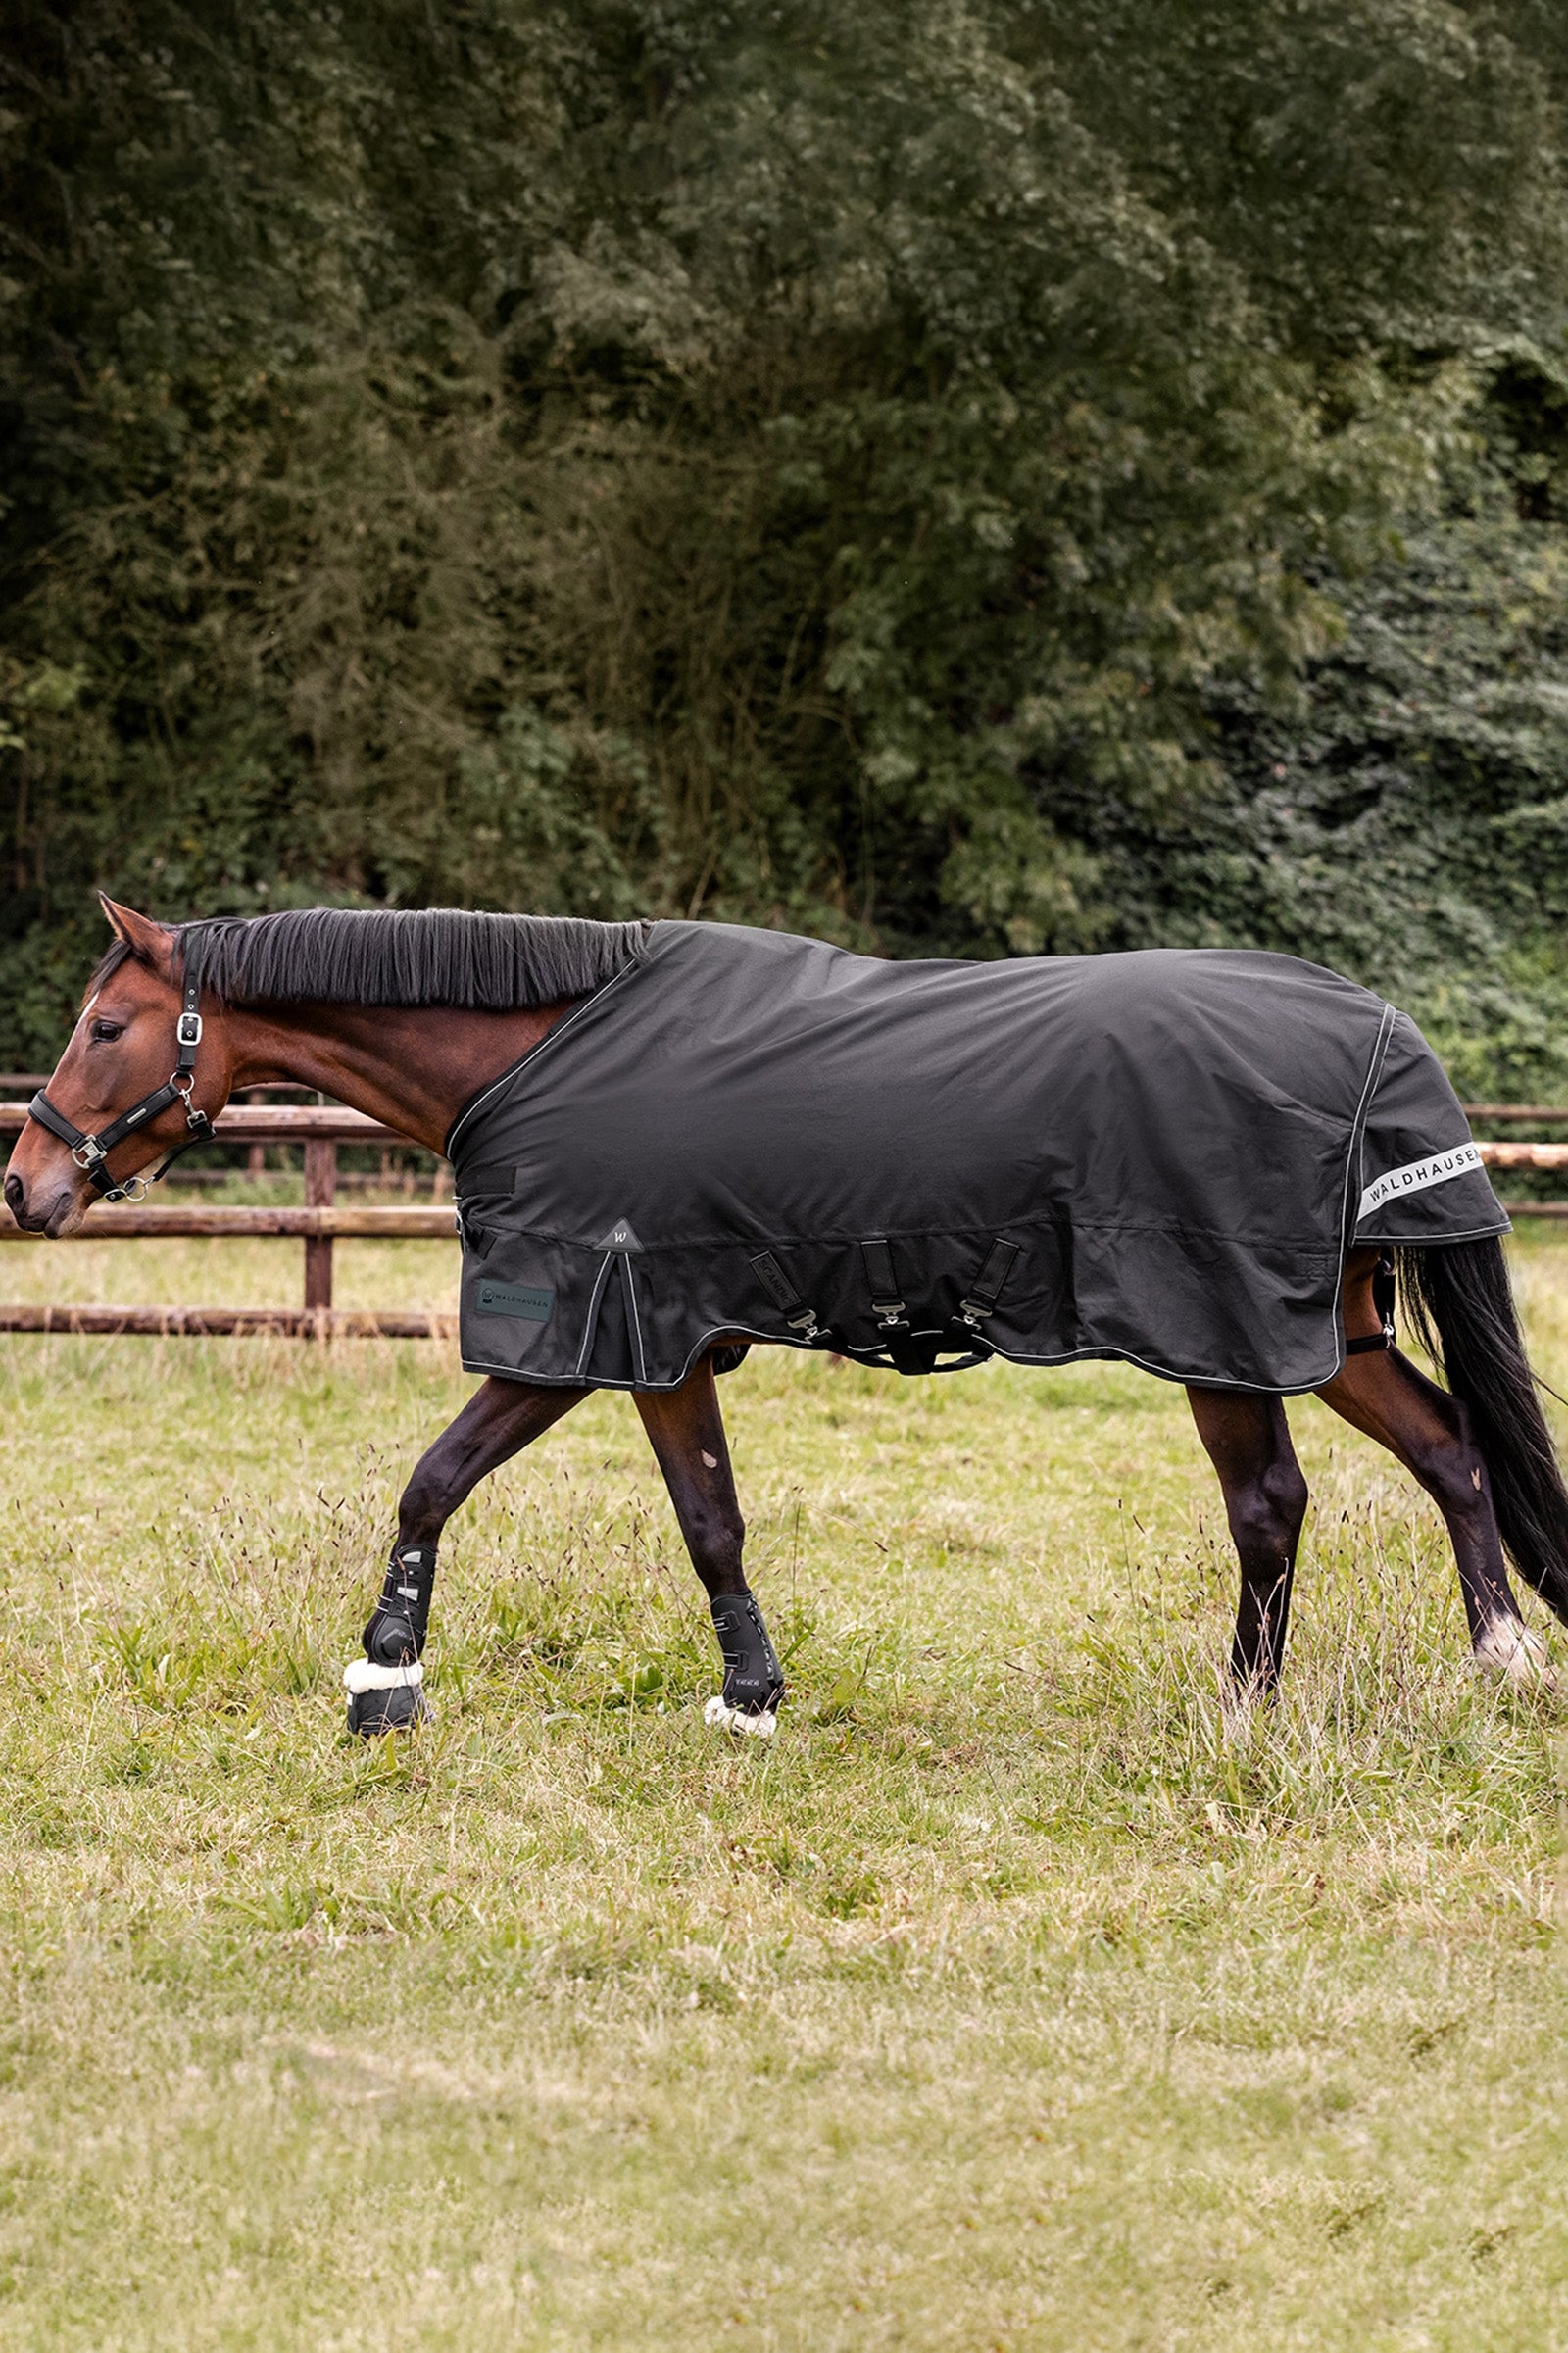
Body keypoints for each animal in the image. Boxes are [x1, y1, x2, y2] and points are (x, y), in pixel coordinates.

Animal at [5, 896, 1566, 1739]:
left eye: (102, 1028)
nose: (24, 1185)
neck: (543, 1050)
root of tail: (1374, 1029)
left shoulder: (586, 1334)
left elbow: (436, 1479)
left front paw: (385, 1677)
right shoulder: (663, 1344)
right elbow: (710, 1518)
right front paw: (751, 1694)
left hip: (1225, 1337)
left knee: (1271, 1507)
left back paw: (1244, 1709)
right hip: (1334, 1329)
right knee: (1450, 1450)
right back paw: (1501, 1659)